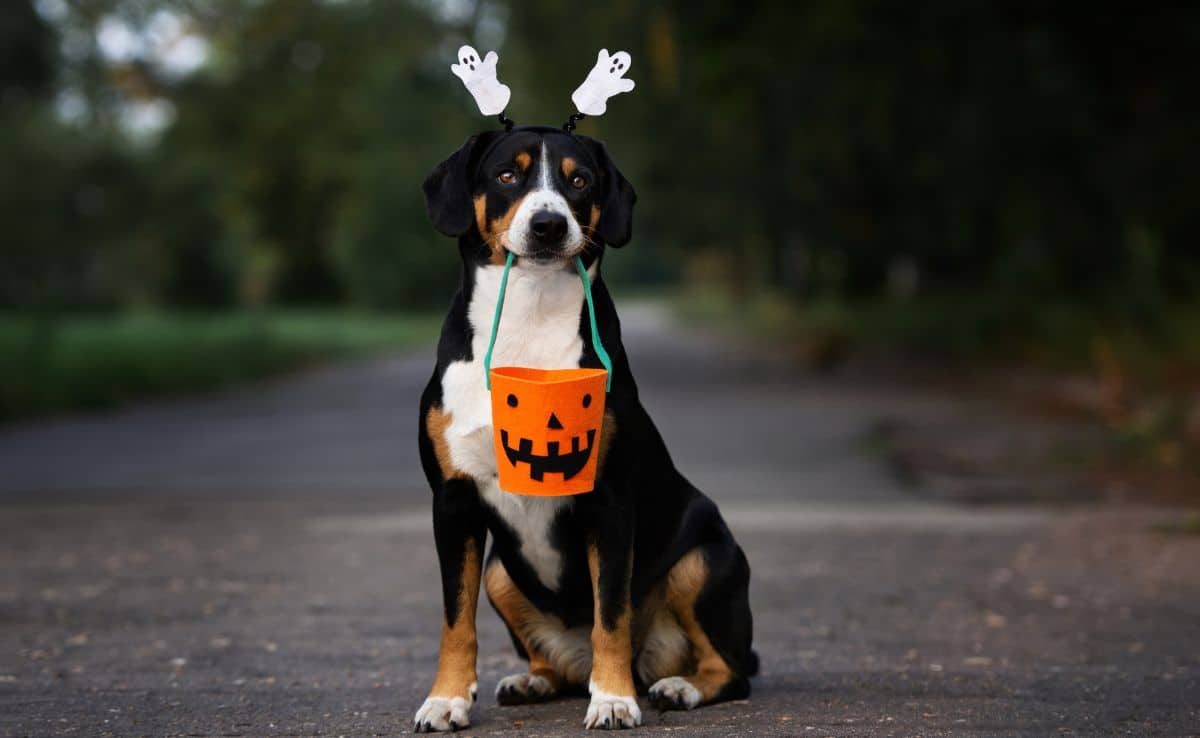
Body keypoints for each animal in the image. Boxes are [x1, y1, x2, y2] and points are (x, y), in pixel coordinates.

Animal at [412, 47, 748, 734]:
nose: (547, 224)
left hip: (704, 560)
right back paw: (533, 680)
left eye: (579, 181)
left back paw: (675, 686)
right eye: (507, 177)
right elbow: (456, 619)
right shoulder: (452, 503)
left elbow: (610, 615)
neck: (531, 317)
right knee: (561, 662)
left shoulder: (610, 500)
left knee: (729, 665)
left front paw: (614, 699)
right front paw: (447, 699)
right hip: (502, 574)